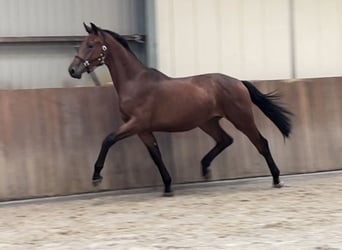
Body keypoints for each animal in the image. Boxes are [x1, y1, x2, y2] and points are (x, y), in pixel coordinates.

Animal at [69, 23, 292, 195]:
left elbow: (108, 140)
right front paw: (168, 187)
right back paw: (205, 168)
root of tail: (239, 82)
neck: (135, 82)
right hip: (207, 122)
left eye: (90, 44)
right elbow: (156, 155)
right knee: (225, 140)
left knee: (261, 143)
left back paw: (277, 179)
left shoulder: (136, 124)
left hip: (241, 118)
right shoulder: (142, 129)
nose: (72, 70)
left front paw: (96, 176)